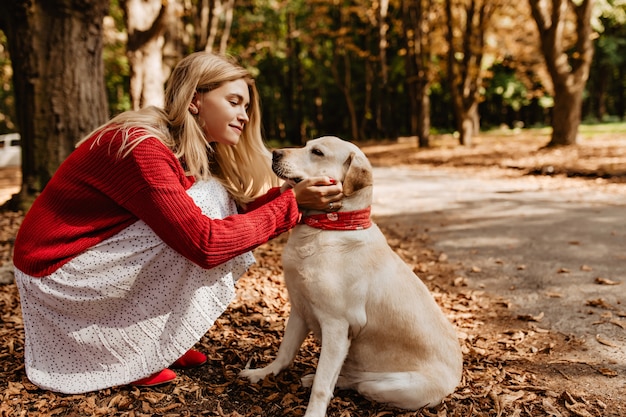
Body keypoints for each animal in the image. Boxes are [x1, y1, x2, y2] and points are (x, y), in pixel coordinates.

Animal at [240, 135, 464, 414]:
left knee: (358, 383)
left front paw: (313, 412)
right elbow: (285, 352)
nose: (274, 153)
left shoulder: (337, 326)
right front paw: (263, 373)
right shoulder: (299, 309)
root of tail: (457, 378)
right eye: (306, 145)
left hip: (389, 386)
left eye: (317, 152)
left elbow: (322, 385)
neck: (328, 227)